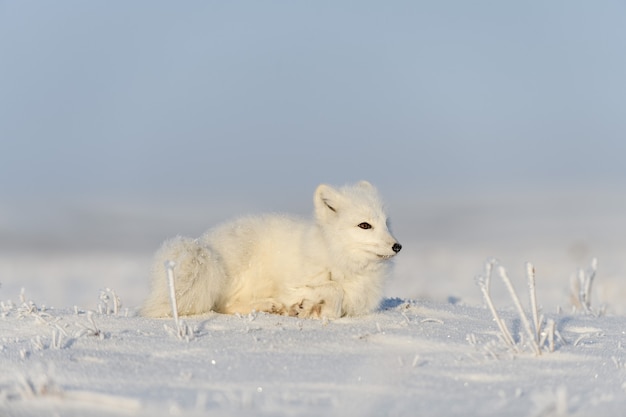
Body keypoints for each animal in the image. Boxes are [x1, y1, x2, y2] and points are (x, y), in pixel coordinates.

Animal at [141, 180, 400, 318]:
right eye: (364, 225)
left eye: (386, 223)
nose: (397, 246)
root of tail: (205, 244)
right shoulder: (293, 285)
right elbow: (333, 290)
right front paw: (308, 307)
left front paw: (314, 310)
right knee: (223, 306)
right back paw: (270, 306)